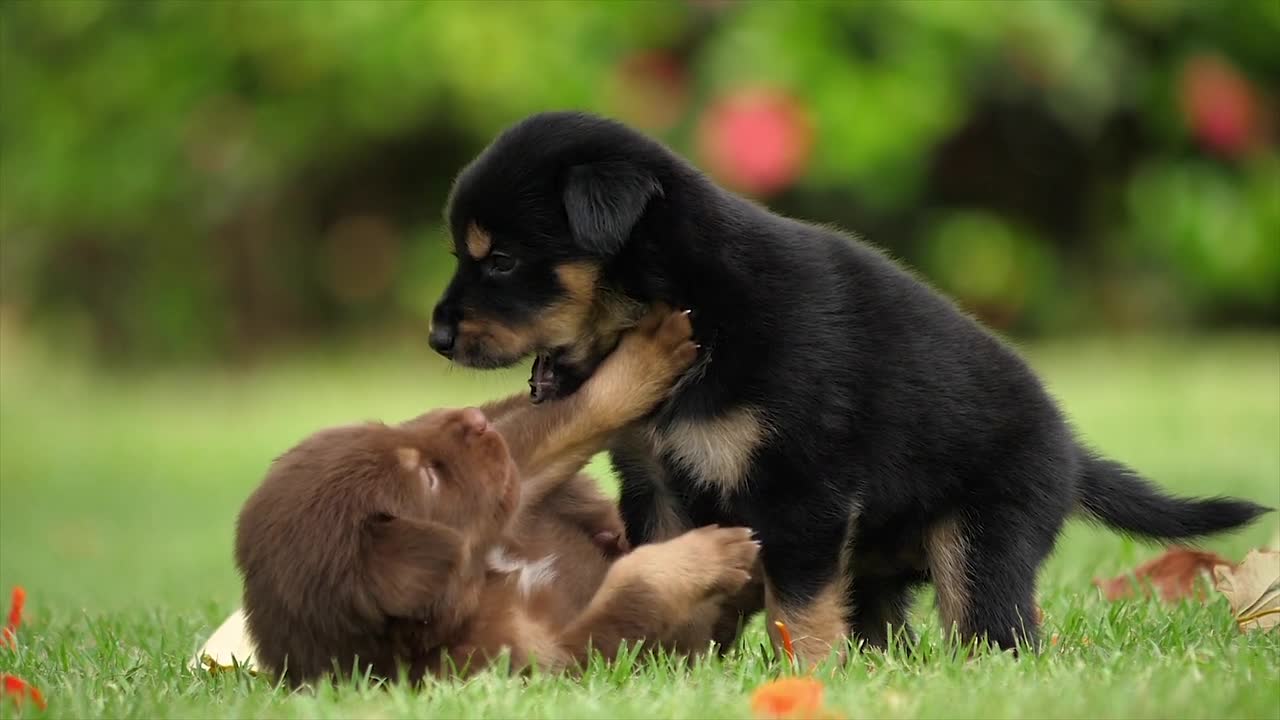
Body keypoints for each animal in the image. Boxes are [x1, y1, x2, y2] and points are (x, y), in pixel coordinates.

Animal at [236, 304, 757, 681]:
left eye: (385, 430)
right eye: (428, 478)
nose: (473, 419)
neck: (484, 582)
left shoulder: (511, 491)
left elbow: (564, 418)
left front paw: (647, 353)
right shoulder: (552, 661)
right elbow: (634, 591)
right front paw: (710, 556)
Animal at [430, 110, 1269, 655]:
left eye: (501, 259)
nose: (435, 337)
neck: (695, 302)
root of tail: (1070, 450)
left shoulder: (800, 490)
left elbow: (797, 607)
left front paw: (804, 676)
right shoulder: (657, 484)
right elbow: (664, 566)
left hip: (985, 537)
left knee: (995, 627)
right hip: (880, 565)